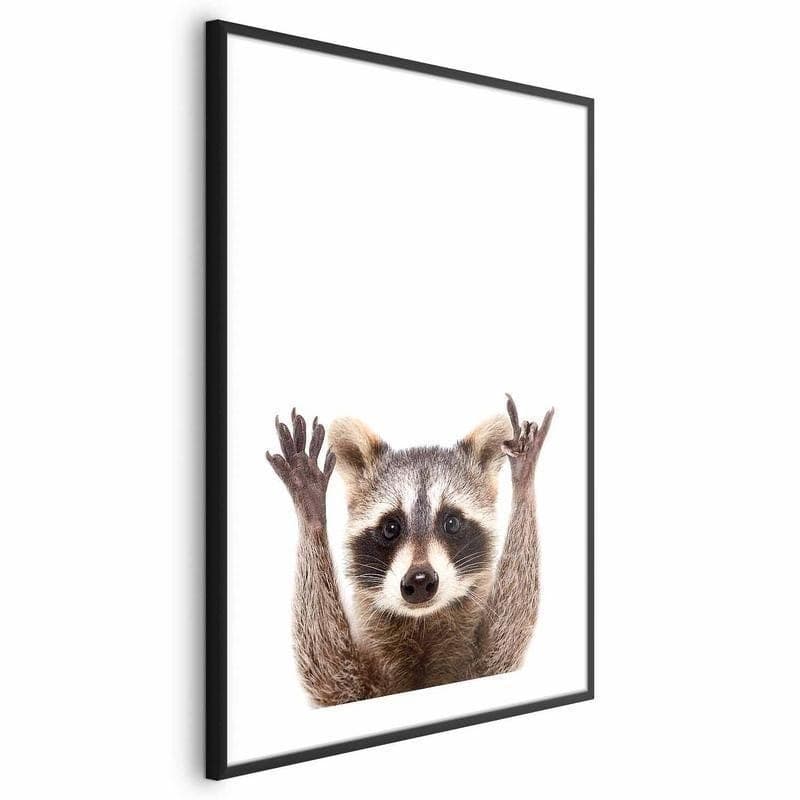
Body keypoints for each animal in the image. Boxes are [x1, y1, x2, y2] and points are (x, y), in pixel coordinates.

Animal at [265, 395, 553, 706]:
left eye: (451, 522)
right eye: (391, 527)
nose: (420, 580)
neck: (422, 624)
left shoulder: (487, 666)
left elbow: (511, 625)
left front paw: (523, 480)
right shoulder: (351, 685)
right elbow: (325, 663)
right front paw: (311, 511)